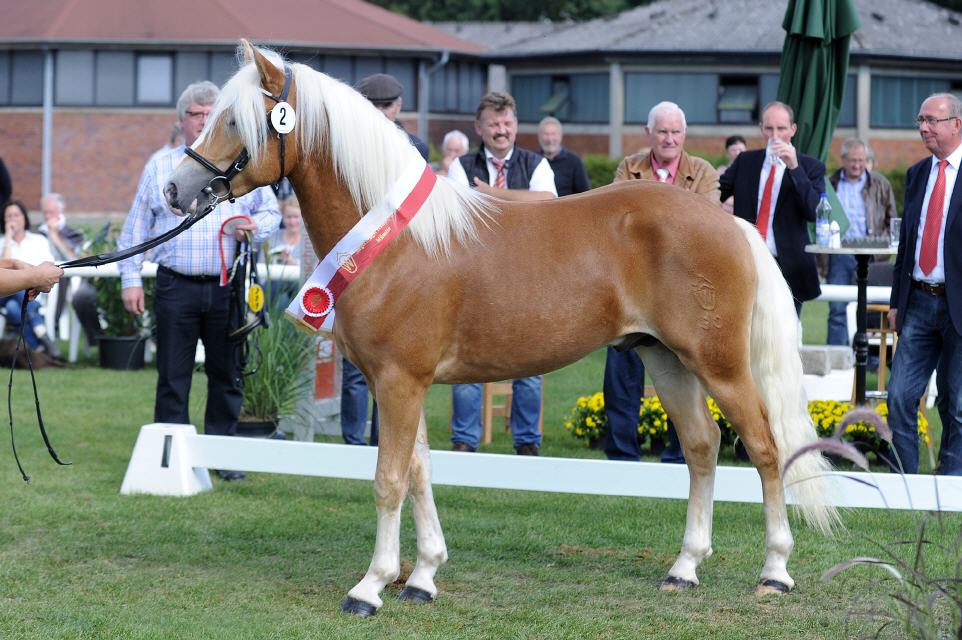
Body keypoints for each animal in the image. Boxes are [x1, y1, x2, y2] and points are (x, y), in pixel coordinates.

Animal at [163, 42, 832, 616]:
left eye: (235, 121)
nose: (175, 189)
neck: (395, 238)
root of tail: (730, 222)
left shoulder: (399, 382)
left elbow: (388, 480)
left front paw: (371, 586)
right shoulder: (400, 383)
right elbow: (420, 474)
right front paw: (423, 576)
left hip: (720, 365)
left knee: (766, 449)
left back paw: (774, 572)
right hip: (665, 359)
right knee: (701, 447)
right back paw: (684, 568)